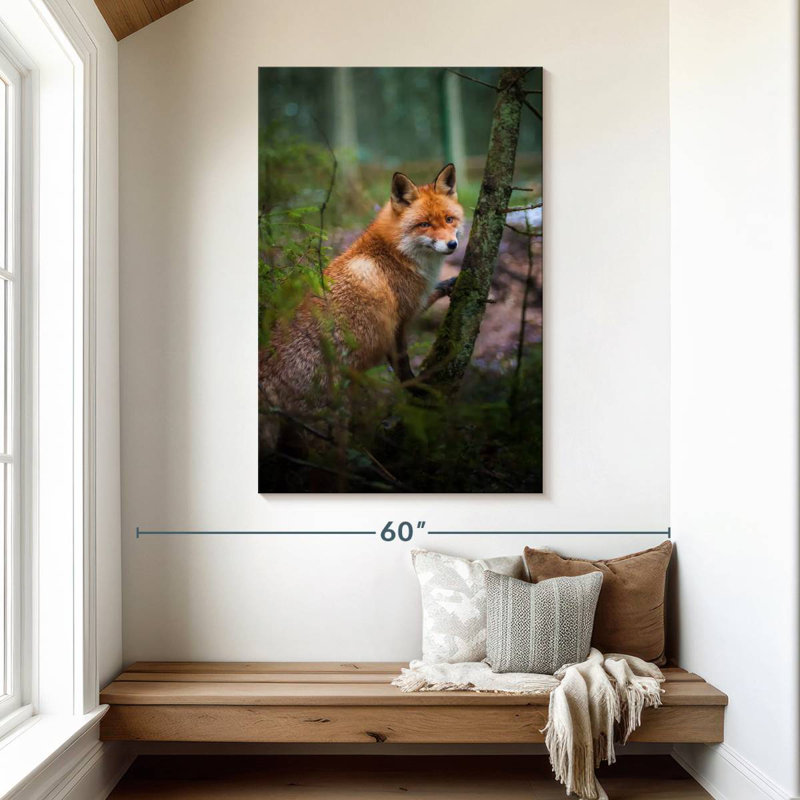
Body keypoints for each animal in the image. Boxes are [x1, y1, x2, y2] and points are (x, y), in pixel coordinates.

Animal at [259, 163, 464, 431]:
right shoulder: (398, 321)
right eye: (425, 224)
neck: (395, 253)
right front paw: (416, 389)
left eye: (449, 219)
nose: (452, 245)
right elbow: (402, 366)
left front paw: (449, 284)